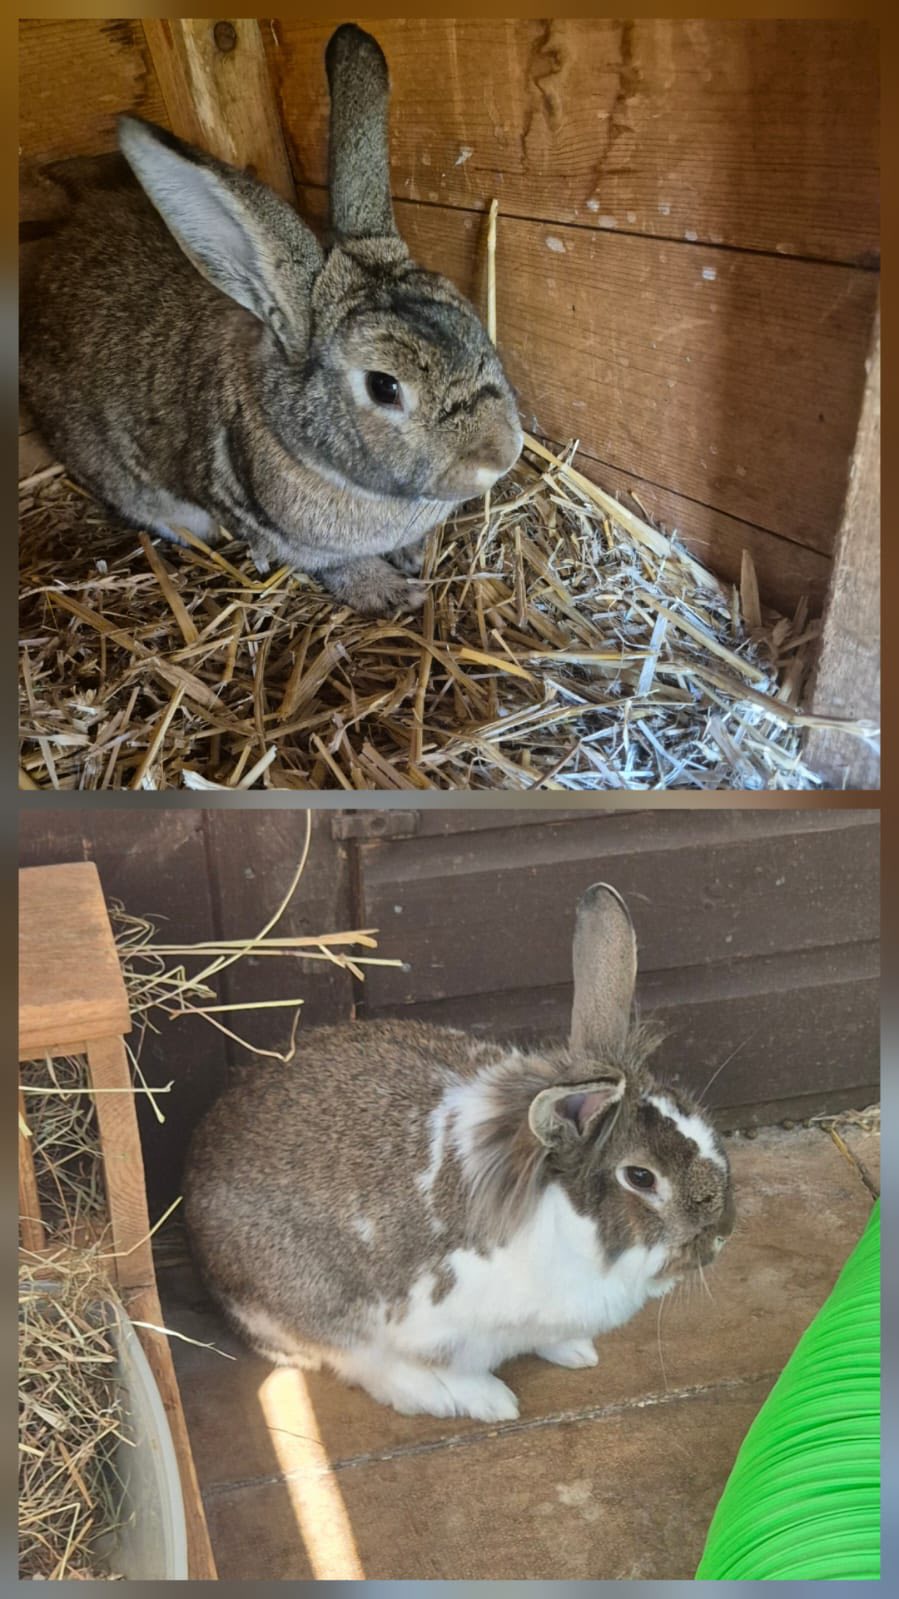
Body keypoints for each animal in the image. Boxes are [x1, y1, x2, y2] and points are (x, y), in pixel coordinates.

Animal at [19, 24, 523, 617]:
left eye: (476, 326)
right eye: (383, 386)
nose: (501, 454)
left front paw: (413, 554)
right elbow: (339, 566)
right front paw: (393, 594)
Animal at [183, 883, 735, 1423]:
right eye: (641, 1177)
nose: (722, 1233)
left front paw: (575, 1351)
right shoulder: (433, 1326)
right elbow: (442, 1365)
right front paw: (490, 1401)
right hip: (305, 1299)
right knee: (353, 1357)